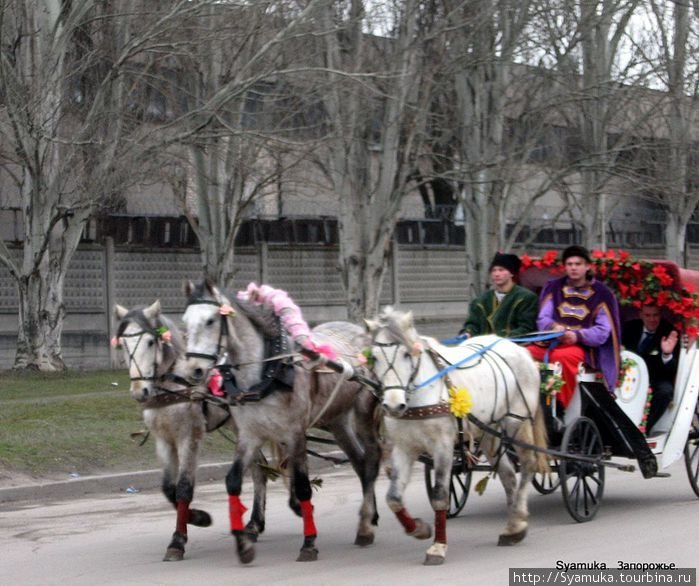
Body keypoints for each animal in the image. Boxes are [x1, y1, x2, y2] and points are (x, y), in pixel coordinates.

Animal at [178, 278, 380, 560]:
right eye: (185, 322)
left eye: (210, 320)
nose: (194, 370)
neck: (266, 371)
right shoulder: (249, 434)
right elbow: (234, 481)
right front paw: (243, 543)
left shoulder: (294, 433)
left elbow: (303, 485)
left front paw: (309, 543)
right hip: (336, 420)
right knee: (360, 462)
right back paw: (368, 517)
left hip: (363, 412)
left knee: (372, 458)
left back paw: (367, 525)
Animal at [366, 304, 552, 564]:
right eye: (374, 357)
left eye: (405, 354)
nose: (393, 405)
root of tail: (518, 349)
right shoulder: (403, 448)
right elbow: (393, 497)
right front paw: (419, 529)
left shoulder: (443, 447)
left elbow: (440, 496)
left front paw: (437, 547)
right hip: (488, 432)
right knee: (508, 474)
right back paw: (513, 525)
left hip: (518, 423)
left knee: (527, 465)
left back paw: (518, 517)